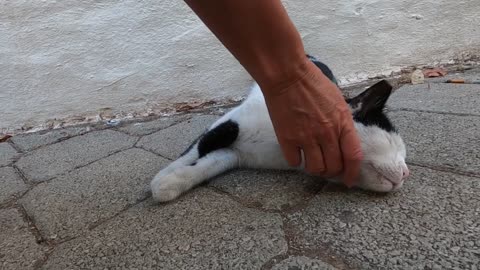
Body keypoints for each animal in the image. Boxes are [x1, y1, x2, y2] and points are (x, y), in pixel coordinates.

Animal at [150, 54, 408, 202]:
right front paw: (166, 174)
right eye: (392, 143)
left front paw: (171, 182)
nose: (406, 173)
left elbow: (209, 163)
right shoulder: (230, 122)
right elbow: (200, 147)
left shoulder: (236, 155)